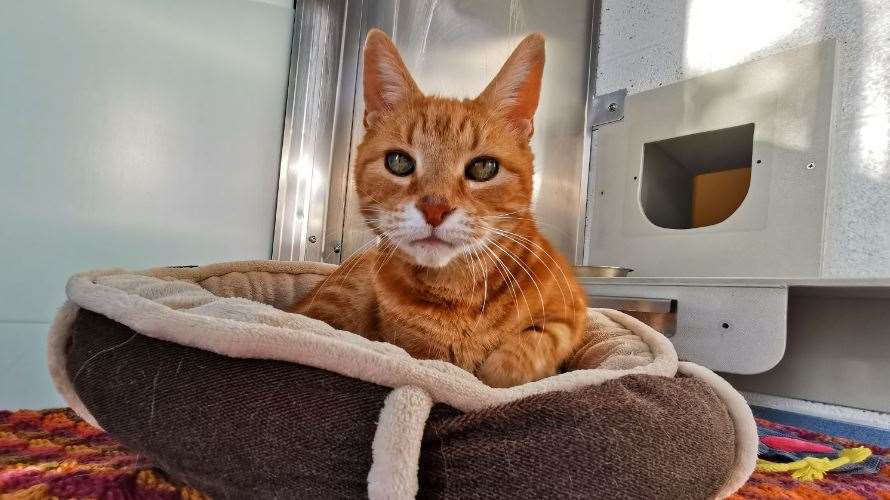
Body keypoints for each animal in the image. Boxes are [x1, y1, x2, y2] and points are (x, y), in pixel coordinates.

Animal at [294, 29, 588, 386]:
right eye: (399, 162)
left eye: (483, 168)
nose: (435, 209)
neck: (458, 293)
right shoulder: (410, 349)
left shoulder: (572, 311)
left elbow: (527, 347)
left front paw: (498, 373)